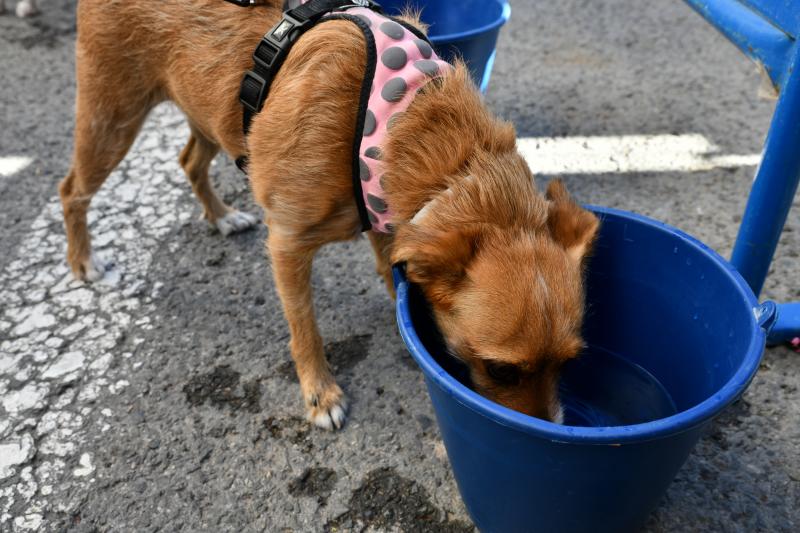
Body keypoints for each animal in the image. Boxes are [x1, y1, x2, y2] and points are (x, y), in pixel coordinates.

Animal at [61, 0, 600, 428]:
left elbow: (389, 274)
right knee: (71, 191)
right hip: (111, 119)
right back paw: (84, 261)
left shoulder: (386, 221)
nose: (554, 428)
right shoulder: (287, 242)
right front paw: (320, 394)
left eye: (570, 363)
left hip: (205, 112)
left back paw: (220, 216)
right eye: (501, 369)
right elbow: (305, 328)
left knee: (189, 160)